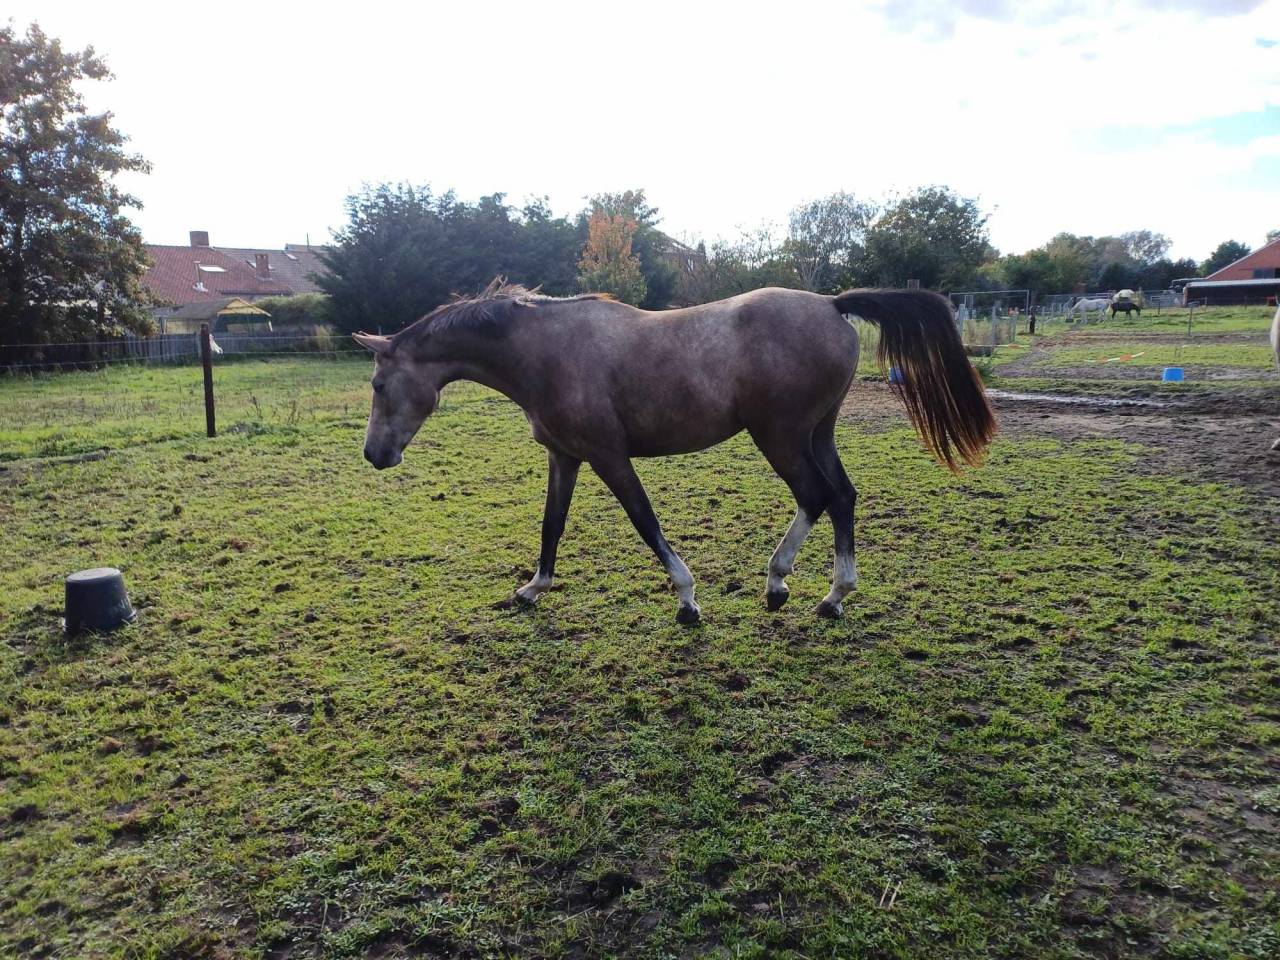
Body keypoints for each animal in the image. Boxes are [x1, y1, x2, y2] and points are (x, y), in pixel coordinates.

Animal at [354, 281, 996, 623]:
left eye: (379, 384)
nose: (374, 455)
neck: (545, 351)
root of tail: (831, 304)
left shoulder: (609, 457)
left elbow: (645, 522)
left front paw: (687, 599)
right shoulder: (565, 457)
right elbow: (551, 525)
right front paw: (533, 588)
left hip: (781, 437)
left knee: (816, 496)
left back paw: (786, 585)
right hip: (817, 434)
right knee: (841, 497)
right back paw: (828, 595)